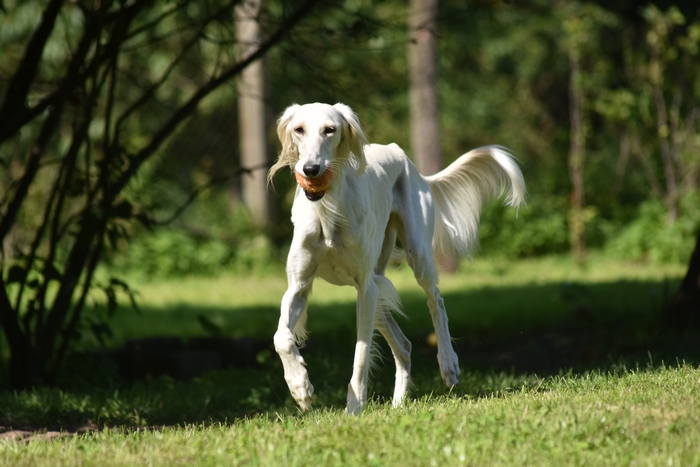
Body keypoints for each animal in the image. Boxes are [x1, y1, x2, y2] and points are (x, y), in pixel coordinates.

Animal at [268, 102, 524, 414]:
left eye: (330, 129)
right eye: (298, 129)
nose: (311, 169)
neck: (328, 212)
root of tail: (407, 161)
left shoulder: (365, 287)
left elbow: (361, 353)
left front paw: (354, 407)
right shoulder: (299, 287)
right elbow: (280, 337)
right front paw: (300, 387)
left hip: (415, 259)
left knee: (435, 301)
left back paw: (448, 363)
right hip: (378, 288)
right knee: (404, 346)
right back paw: (399, 404)